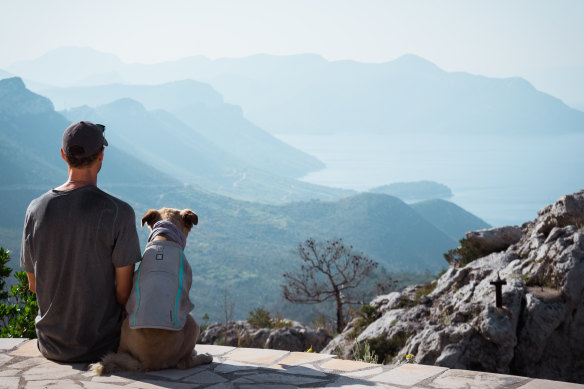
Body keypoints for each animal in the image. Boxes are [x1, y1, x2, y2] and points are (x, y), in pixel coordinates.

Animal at [93, 206, 214, 372]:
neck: (164, 238)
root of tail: (147, 362)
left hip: (125, 327)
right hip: (192, 323)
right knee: (184, 363)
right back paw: (204, 357)